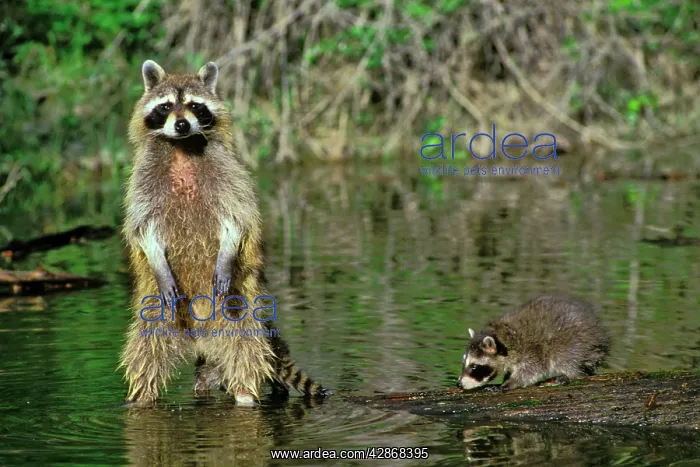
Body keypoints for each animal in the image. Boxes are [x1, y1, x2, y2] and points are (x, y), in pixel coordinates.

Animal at [119, 60, 329, 405]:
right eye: (166, 106)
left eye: (194, 106)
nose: (181, 125)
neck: (182, 147)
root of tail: (200, 338)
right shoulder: (143, 181)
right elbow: (143, 225)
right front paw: (157, 259)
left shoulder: (228, 173)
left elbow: (236, 218)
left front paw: (227, 253)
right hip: (158, 311)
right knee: (147, 352)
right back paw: (140, 397)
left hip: (237, 306)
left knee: (245, 349)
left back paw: (245, 396)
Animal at [458, 294, 611, 390]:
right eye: (464, 362)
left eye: (474, 367)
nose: (459, 385)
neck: (504, 337)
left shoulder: (532, 351)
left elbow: (530, 371)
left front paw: (509, 383)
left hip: (574, 343)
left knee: (567, 359)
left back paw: (569, 375)